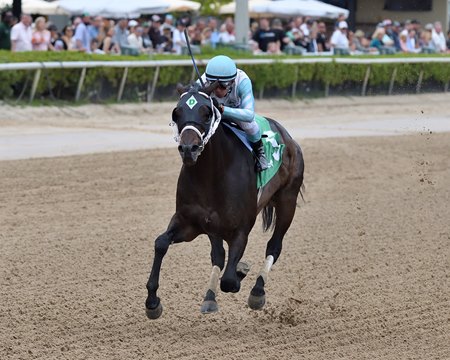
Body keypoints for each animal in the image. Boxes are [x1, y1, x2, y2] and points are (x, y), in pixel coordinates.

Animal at [146, 83, 304, 320]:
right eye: (176, 112)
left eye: (207, 112)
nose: (189, 149)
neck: (211, 174)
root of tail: (287, 137)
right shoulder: (189, 223)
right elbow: (161, 243)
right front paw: (152, 302)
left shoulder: (240, 230)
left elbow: (229, 281)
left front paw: (240, 270)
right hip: (214, 227)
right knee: (218, 256)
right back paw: (210, 297)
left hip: (288, 200)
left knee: (274, 246)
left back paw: (257, 291)